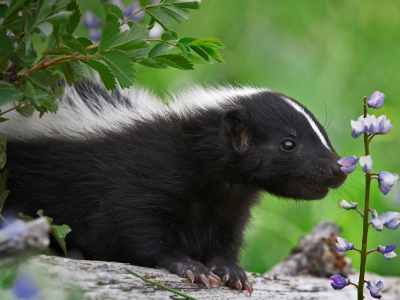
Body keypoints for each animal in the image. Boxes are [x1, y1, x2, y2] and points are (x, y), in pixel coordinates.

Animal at [2, 81, 344, 294]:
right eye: (288, 144)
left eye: (323, 135)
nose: (338, 169)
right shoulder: (139, 178)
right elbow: (136, 227)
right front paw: (190, 266)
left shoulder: (230, 204)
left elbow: (227, 238)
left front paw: (230, 271)